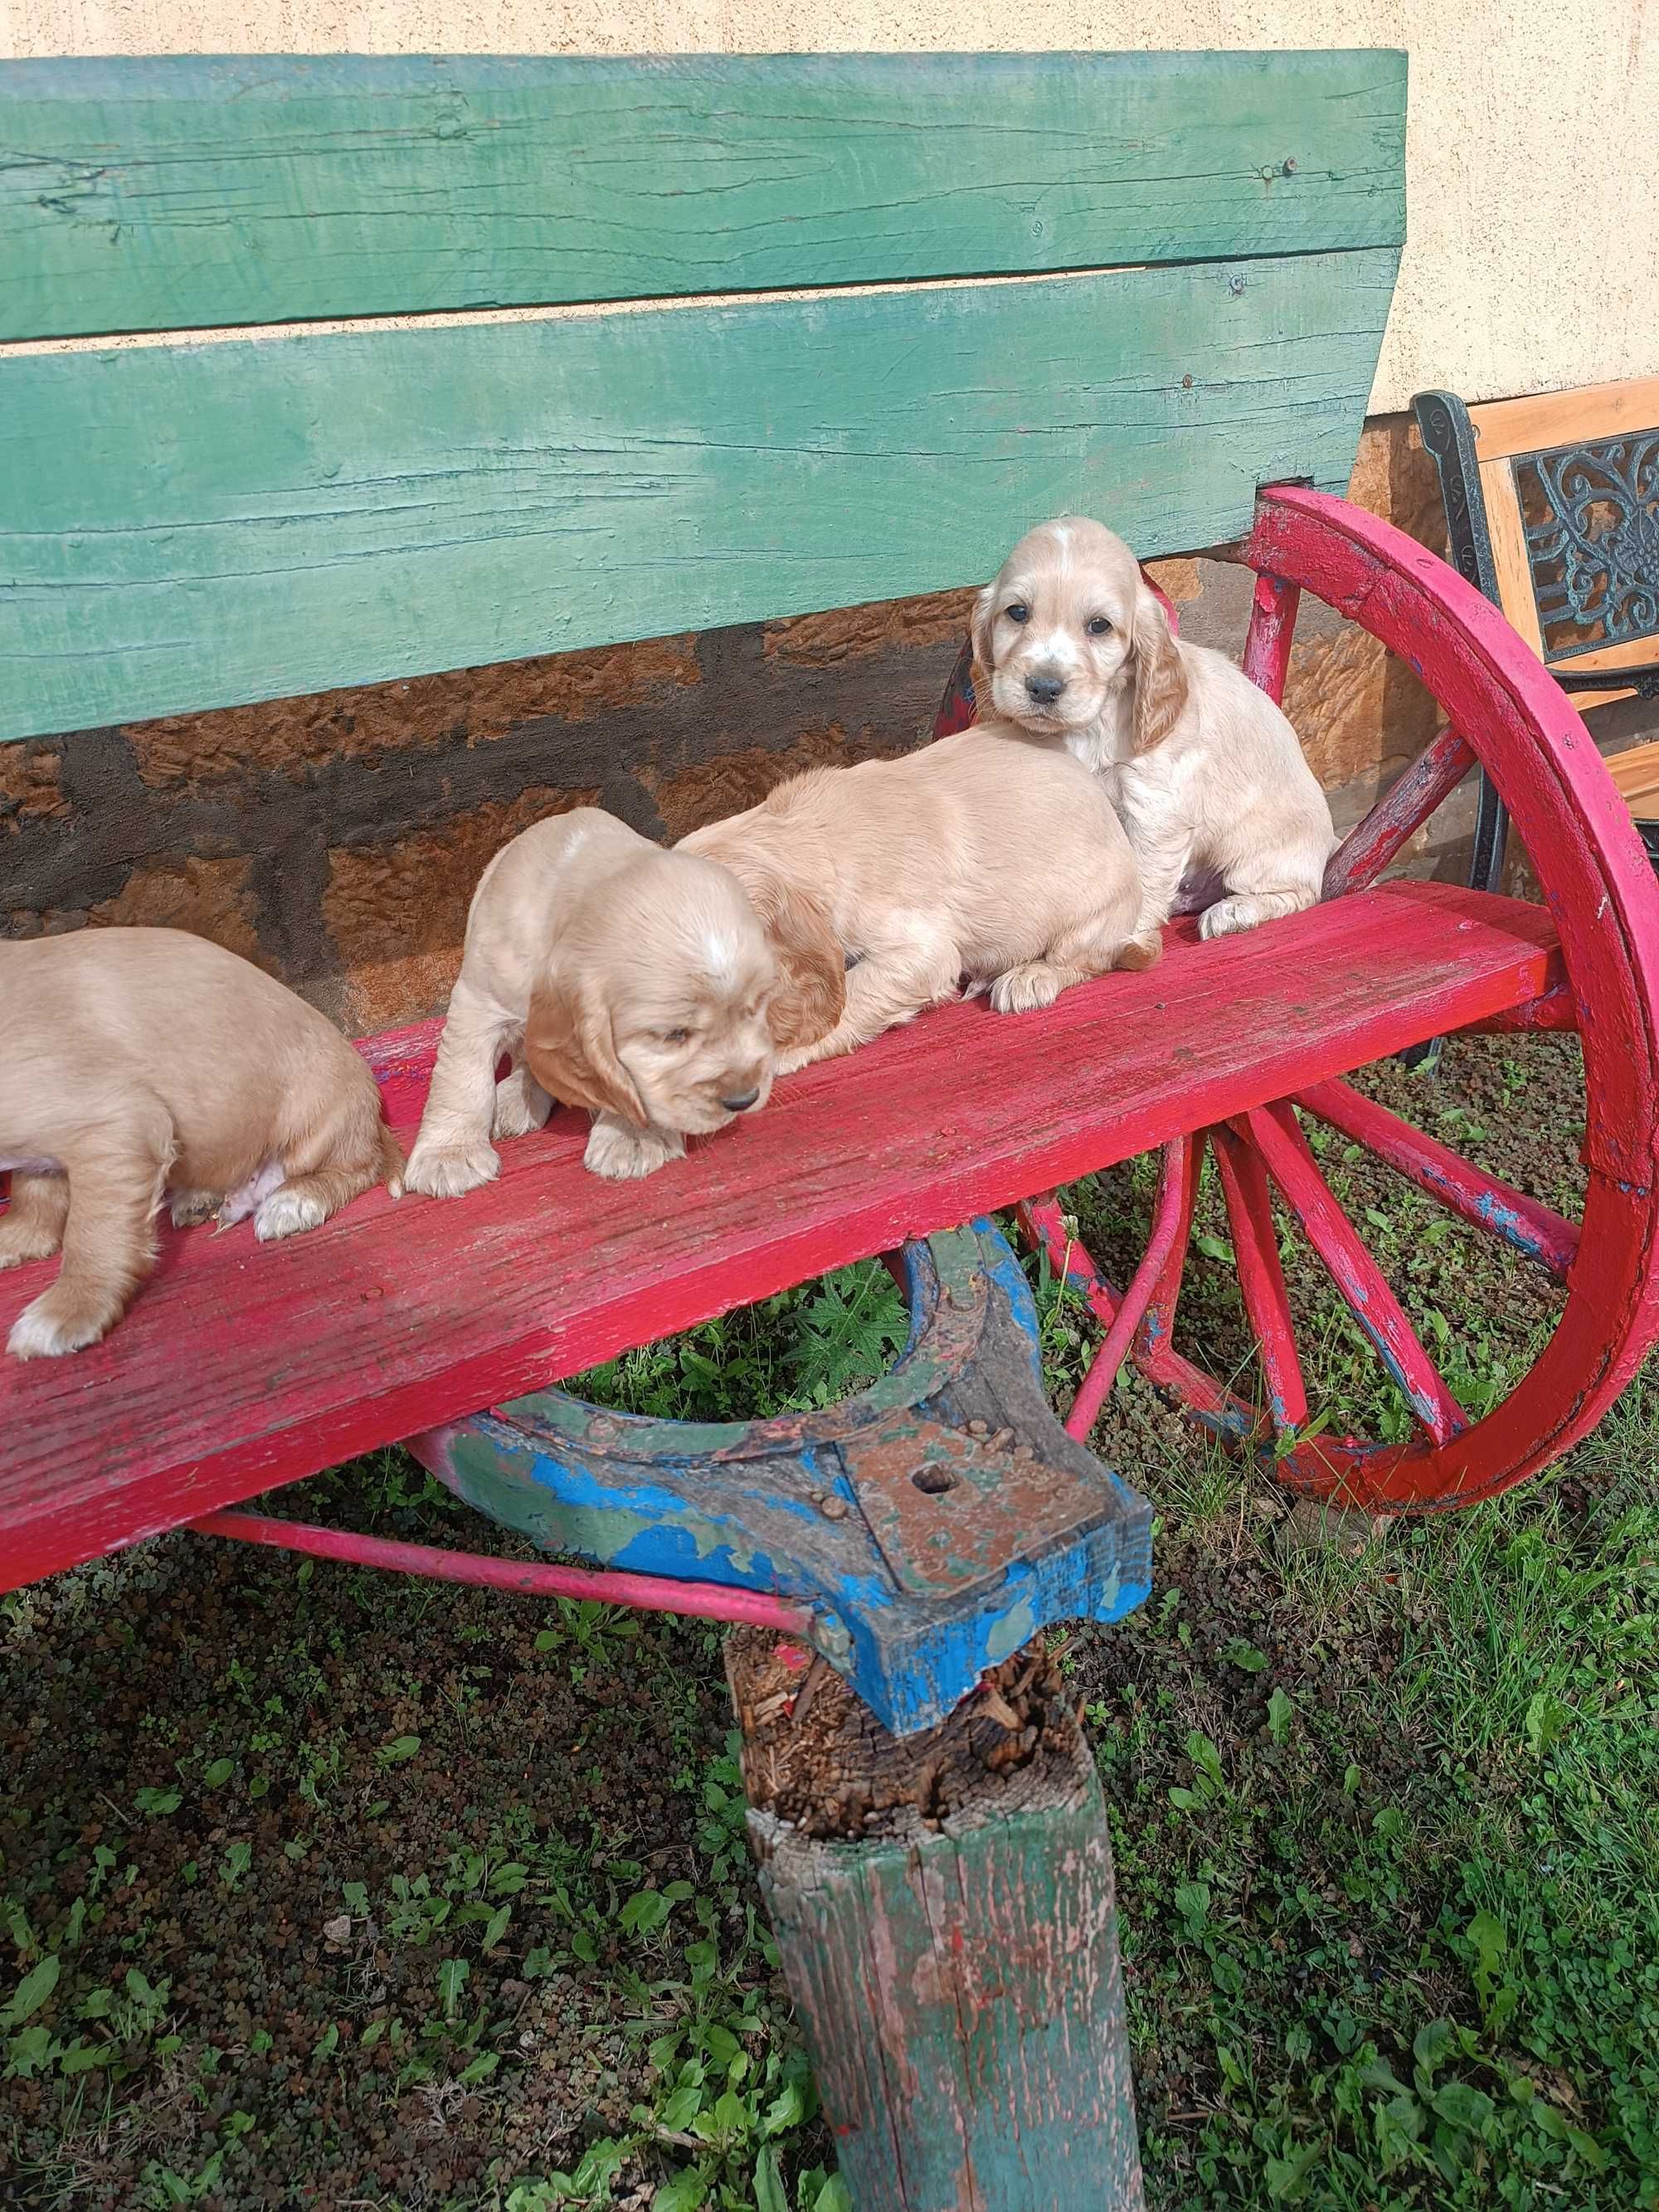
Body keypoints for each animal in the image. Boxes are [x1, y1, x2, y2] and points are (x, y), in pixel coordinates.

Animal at [0, 924, 402, 1354]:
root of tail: (372, 1112)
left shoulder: (117, 1124)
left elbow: (91, 1231)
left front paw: (66, 1310)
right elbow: (35, 1192)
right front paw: (18, 1236)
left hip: (315, 1122)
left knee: (357, 1167)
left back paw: (293, 1202)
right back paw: (200, 1198)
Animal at [409, 814, 836, 1194]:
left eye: (755, 1009)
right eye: (673, 1034)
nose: (744, 1100)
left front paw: (632, 1138)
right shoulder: (478, 1002)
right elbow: (462, 1079)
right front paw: (448, 1155)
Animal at [681, 725, 1159, 1070]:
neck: (800, 836)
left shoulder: (922, 950)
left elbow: (852, 995)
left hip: (1095, 911)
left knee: (1085, 960)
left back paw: (1028, 978)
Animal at [973, 519, 1335, 942]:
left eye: (1099, 626)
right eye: (1017, 612)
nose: (1044, 687)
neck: (1091, 726)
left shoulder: (1154, 809)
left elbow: (1141, 885)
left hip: (1257, 853)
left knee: (1300, 891)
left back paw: (1233, 912)